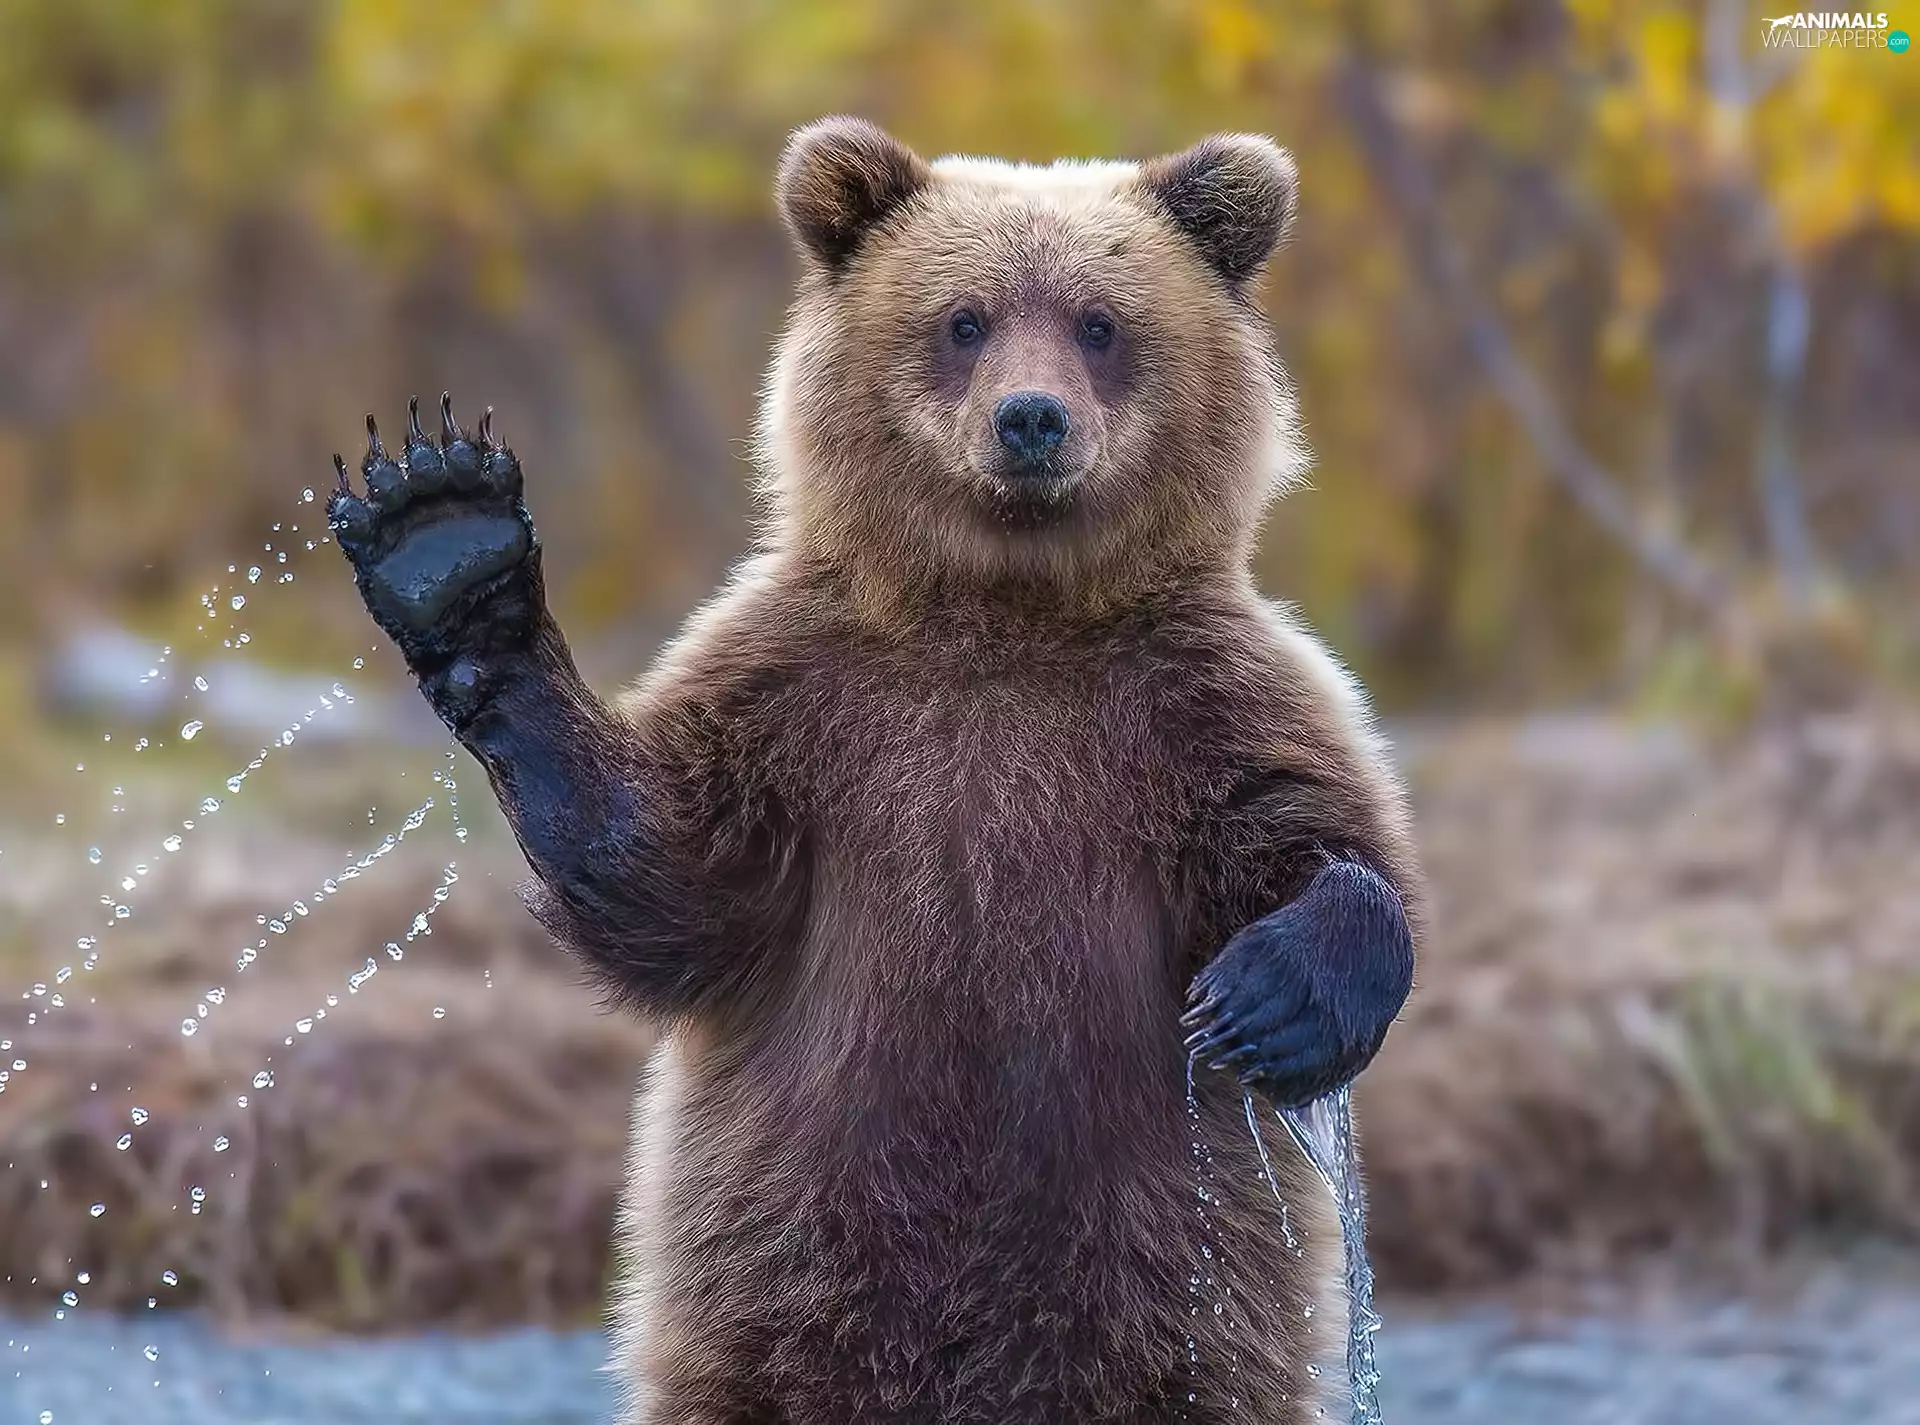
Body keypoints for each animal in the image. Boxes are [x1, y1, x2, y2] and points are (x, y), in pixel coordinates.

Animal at [327, 117, 1423, 1425]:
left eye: (1100, 321)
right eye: (965, 318)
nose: (1032, 420)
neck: (1005, 613)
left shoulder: (1197, 703)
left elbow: (1316, 835)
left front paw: (1271, 999)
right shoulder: (807, 701)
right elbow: (671, 874)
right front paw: (448, 542)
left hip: (1173, 1295)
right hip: (783, 1277)